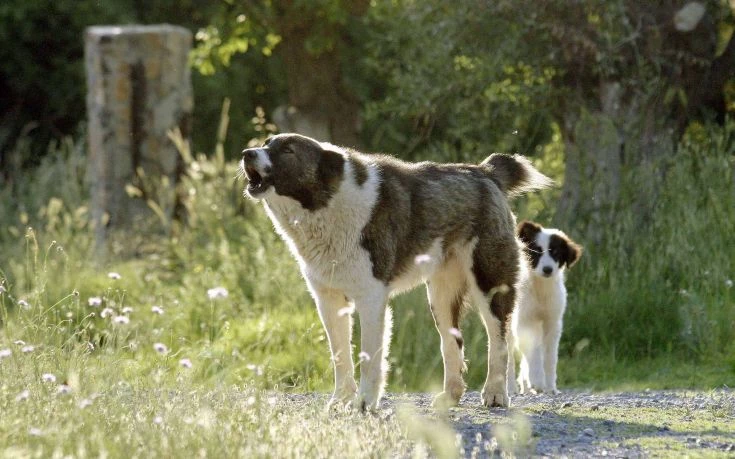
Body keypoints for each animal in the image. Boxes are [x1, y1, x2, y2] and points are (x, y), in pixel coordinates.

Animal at [242, 134, 552, 414]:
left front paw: (364, 403)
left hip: (488, 283)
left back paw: (496, 393)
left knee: (499, 339)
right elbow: (340, 355)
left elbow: (369, 358)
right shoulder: (329, 301)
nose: (247, 153)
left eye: (288, 150)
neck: (327, 204)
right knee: (452, 343)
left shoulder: (371, 299)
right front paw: (340, 401)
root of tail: (485, 173)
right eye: (265, 143)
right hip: (440, 298)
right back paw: (450, 396)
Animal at [508, 222, 584, 396]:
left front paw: (549, 387)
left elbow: (549, 357)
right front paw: (537, 381)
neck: (541, 288)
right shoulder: (524, 321)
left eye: (556, 252)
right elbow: (534, 352)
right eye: (537, 251)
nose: (548, 269)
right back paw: (510, 388)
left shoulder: (552, 323)